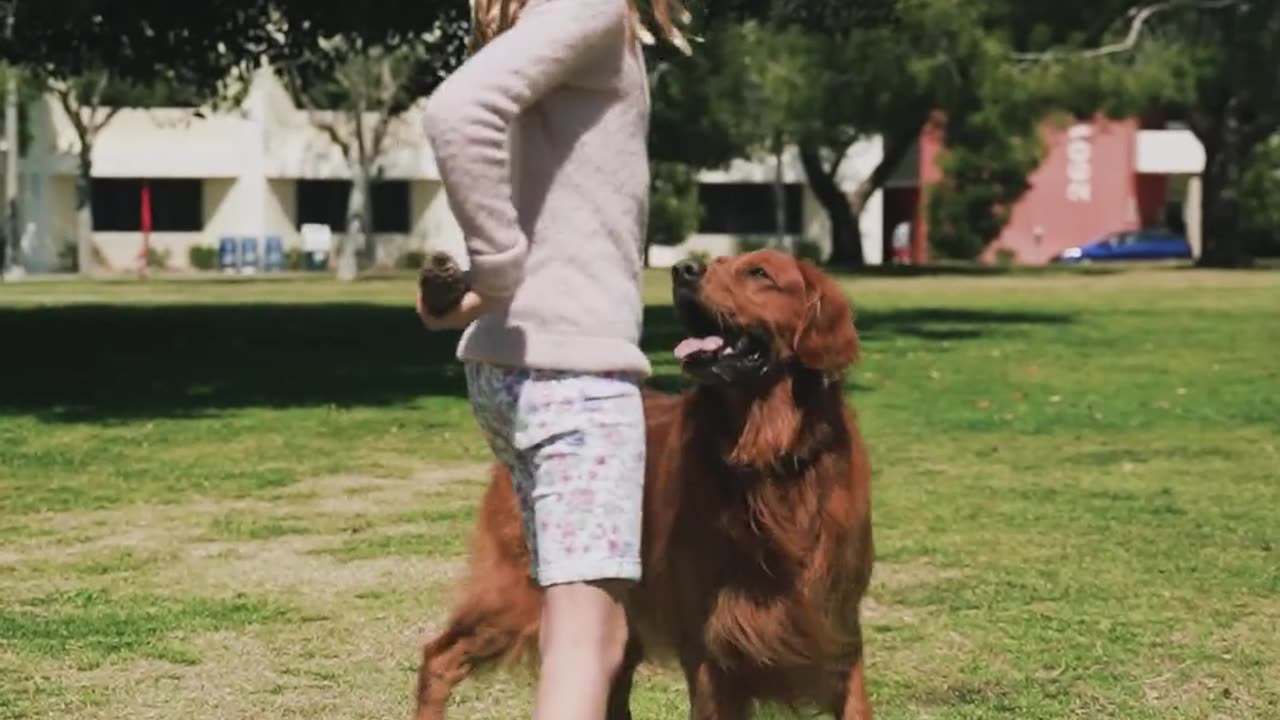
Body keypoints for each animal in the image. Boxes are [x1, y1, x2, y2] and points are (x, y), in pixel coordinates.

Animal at [414, 249, 875, 712]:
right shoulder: (711, 648)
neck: (765, 459)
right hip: (518, 595)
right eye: (719, 262)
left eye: (759, 273)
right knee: (439, 657)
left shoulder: (836, 634)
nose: (684, 269)